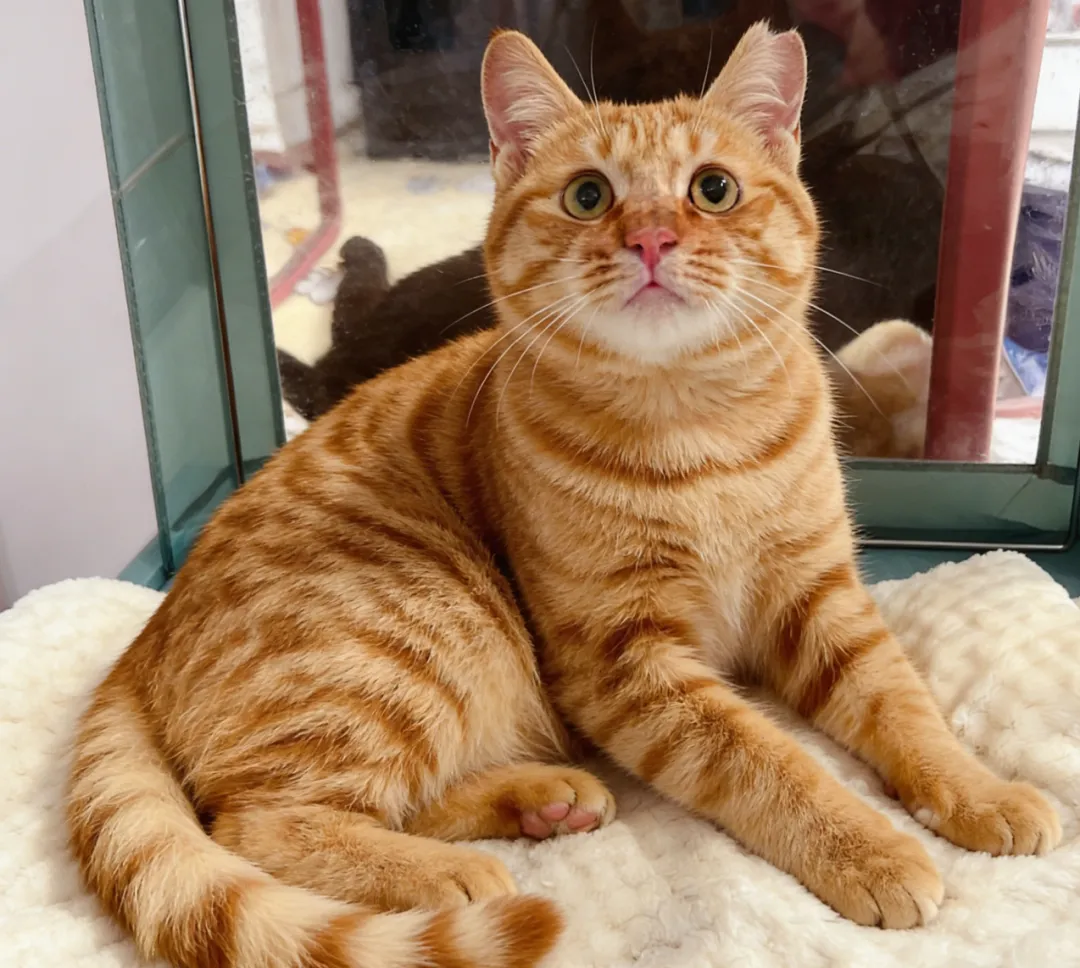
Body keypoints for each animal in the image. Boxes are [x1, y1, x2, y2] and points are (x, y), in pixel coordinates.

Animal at [68, 25, 1059, 968]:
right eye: (588, 196)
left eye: (713, 190)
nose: (652, 239)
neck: (702, 433)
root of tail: (142, 642)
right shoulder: (629, 662)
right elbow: (768, 761)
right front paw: (869, 847)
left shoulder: (821, 602)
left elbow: (907, 707)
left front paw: (982, 792)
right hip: (417, 632)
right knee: (257, 820)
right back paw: (454, 876)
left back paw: (540, 801)